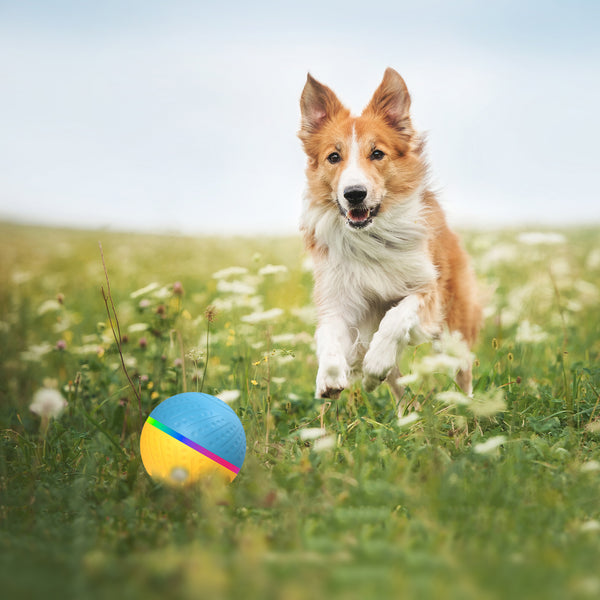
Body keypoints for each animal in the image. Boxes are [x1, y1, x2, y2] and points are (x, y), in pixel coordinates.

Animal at [300, 69, 482, 408]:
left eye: (377, 153)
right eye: (333, 157)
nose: (354, 193)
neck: (370, 237)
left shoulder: (427, 289)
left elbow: (396, 316)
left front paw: (376, 360)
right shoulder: (339, 298)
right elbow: (328, 334)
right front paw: (329, 377)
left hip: (454, 328)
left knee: (462, 373)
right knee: (398, 387)